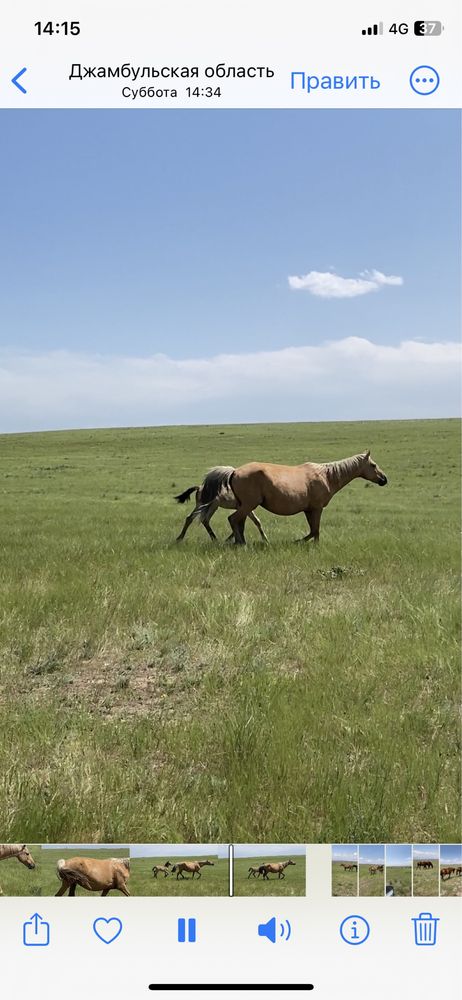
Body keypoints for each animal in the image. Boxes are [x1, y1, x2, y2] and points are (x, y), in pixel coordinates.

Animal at [200, 454, 388, 548]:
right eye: (373, 465)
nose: (384, 479)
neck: (326, 476)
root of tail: (234, 471)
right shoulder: (317, 509)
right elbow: (315, 531)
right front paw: (307, 544)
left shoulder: (309, 510)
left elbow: (313, 530)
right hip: (248, 505)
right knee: (233, 520)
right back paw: (241, 544)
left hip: (244, 506)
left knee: (240, 522)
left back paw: (240, 542)